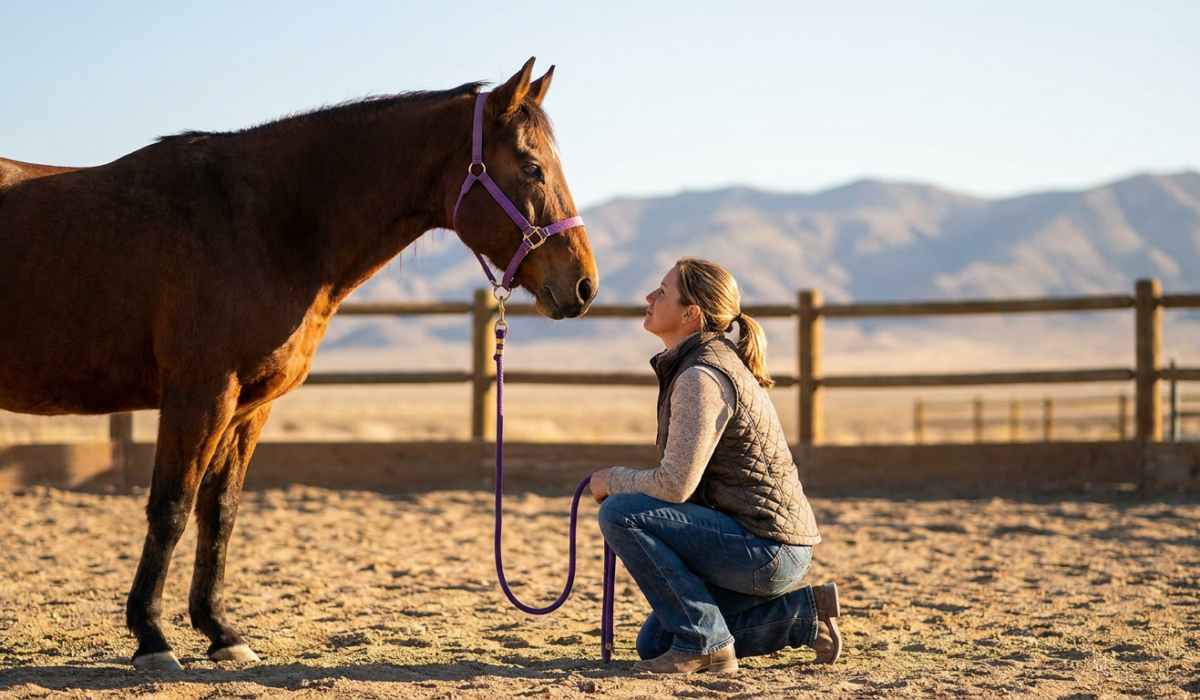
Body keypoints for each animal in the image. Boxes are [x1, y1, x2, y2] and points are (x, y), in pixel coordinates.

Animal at [0, 58, 598, 671]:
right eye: (531, 168)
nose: (583, 285)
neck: (263, 223)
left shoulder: (246, 407)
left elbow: (220, 512)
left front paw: (221, 631)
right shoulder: (199, 394)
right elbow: (172, 507)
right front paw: (151, 637)